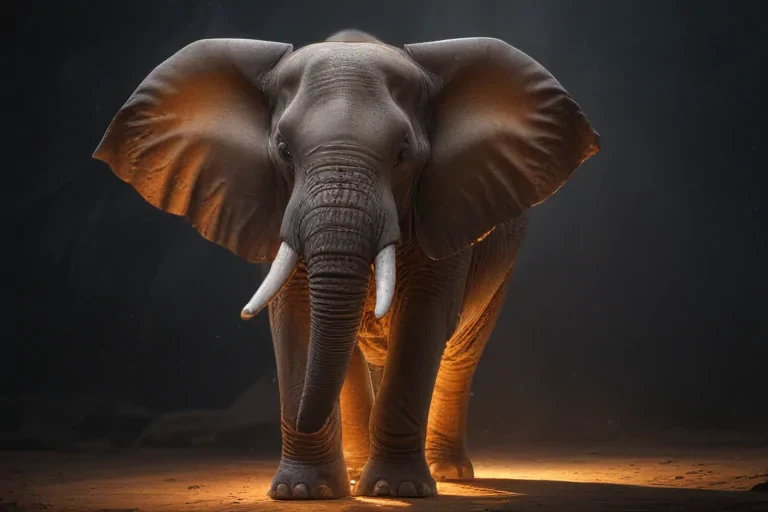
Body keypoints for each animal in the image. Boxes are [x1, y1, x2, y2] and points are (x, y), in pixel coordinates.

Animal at [94, 29, 599, 500]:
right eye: (284, 151)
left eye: (402, 155)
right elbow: (297, 316)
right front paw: (304, 492)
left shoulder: (443, 206)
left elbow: (422, 317)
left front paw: (397, 489)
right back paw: (357, 471)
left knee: (460, 353)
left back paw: (449, 473)